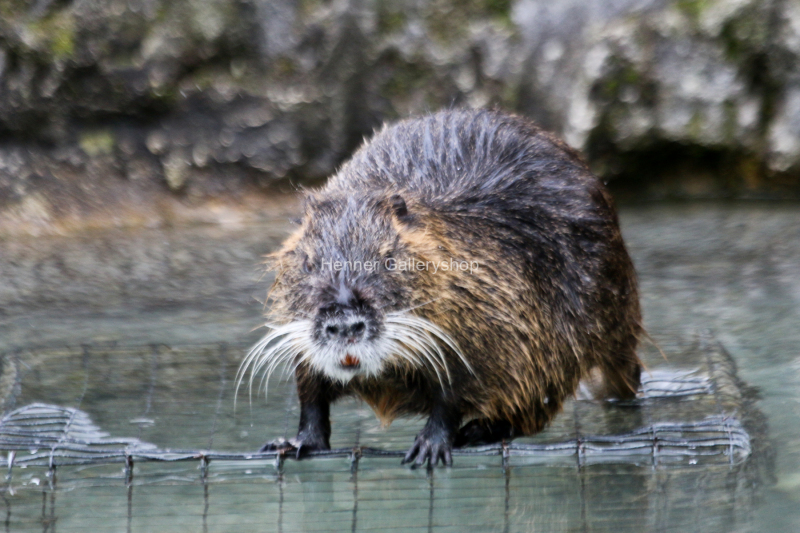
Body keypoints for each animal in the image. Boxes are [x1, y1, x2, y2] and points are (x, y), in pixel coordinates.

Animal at [238, 108, 642, 467]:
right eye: (308, 262)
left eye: (389, 259)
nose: (344, 323)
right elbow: (311, 393)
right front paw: (293, 443)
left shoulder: (490, 314)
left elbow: (457, 389)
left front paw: (429, 447)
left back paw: (477, 431)